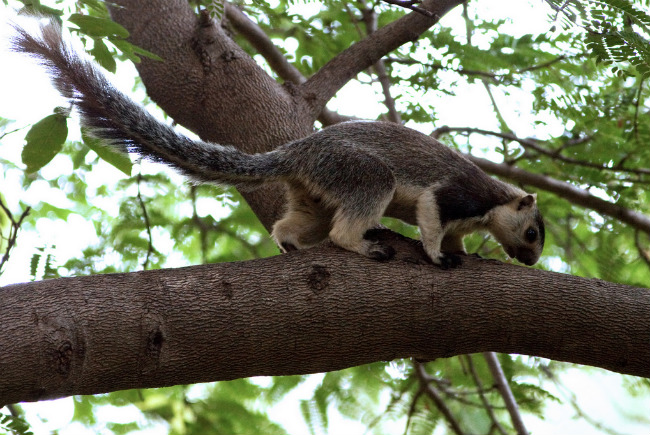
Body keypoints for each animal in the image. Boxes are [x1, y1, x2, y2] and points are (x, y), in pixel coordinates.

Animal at [12, 21, 544, 270]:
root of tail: (298, 154)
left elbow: (454, 236)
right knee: (342, 229)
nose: (533, 260)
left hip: (316, 197)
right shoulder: (454, 193)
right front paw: (438, 256)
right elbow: (433, 222)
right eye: (535, 232)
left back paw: (289, 242)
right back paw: (362, 244)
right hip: (363, 175)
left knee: (297, 225)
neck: (492, 204)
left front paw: (465, 252)